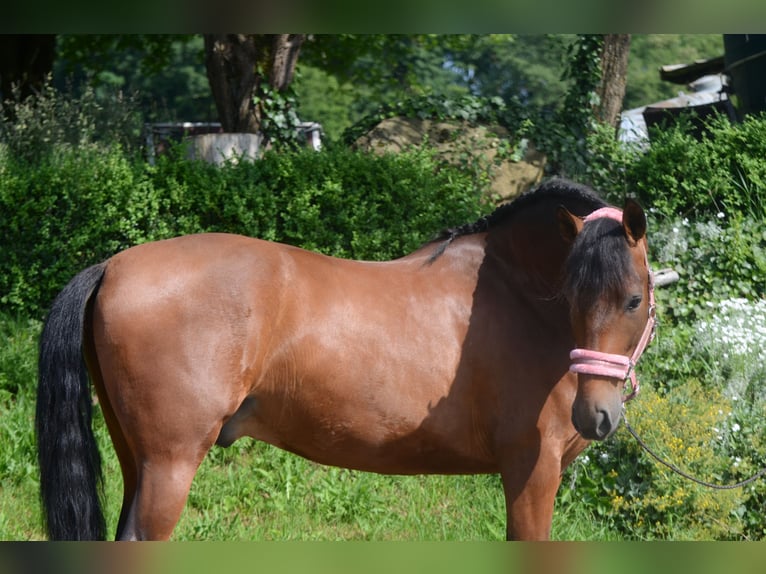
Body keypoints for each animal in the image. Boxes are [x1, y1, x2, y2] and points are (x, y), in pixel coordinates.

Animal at [35, 177, 654, 541]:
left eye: (633, 298)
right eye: (569, 295)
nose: (596, 415)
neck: (512, 292)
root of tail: (113, 266)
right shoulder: (531, 470)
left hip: (137, 460)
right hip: (170, 464)